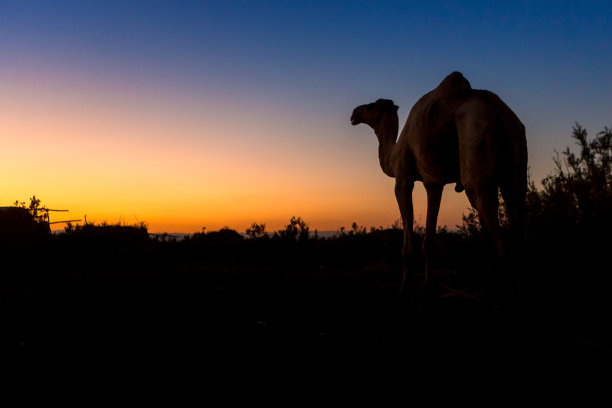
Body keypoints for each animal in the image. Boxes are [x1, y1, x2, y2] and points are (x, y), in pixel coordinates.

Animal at [352, 71, 528, 306]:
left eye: (373, 105)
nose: (354, 113)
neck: (394, 153)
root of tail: (497, 109)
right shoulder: (435, 183)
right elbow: (431, 240)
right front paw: (426, 289)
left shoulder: (406, 180)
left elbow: (414, 244)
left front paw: (407, 292)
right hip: (516, 160)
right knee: (516, 220)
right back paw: (513, 296)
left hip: (476, 145)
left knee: (499, 238)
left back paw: (495, 298)